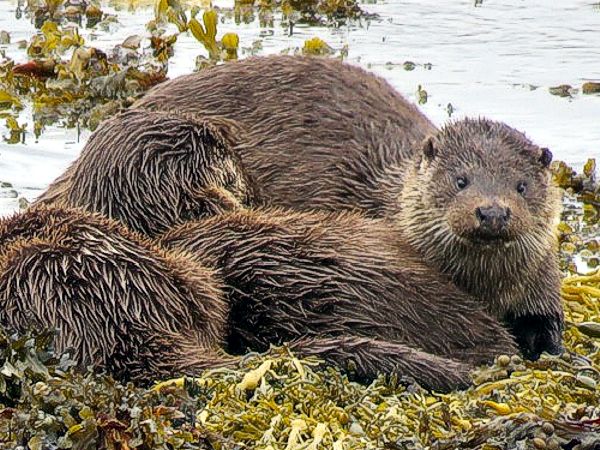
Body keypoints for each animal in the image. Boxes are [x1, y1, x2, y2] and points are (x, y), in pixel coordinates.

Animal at [134, 55, 564, 358]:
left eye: (521, 186)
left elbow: (546, 322)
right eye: (461, 180)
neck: (487, 287)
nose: (492, 212)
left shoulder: (541, 281)